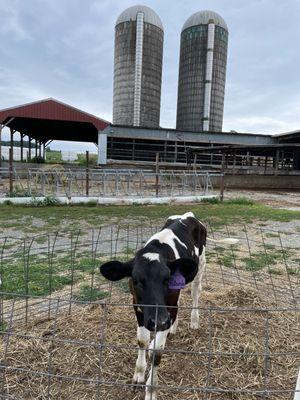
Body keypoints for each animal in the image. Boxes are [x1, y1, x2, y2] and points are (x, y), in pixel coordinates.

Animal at [99, 211, 238, 398]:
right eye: (137, 281)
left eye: (167, 279)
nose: (159, 321)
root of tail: (189, 215)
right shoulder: (137, 306)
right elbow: (142, 341)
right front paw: (139, 374)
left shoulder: (166, 312)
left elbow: (157, 351)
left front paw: (151, 390)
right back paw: (173, 327)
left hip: (200, 265)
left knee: (195, 293)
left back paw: (194, 321)